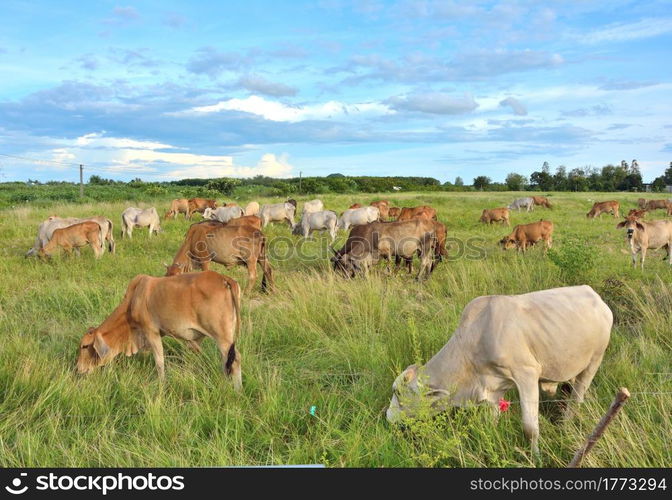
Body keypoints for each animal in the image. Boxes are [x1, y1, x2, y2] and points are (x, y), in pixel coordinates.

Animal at [75, 270, 243, 390]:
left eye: (85, 346)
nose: (78, 369)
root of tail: (224, 279)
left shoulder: (151, 332)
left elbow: (159, 361)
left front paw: (161, 384)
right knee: (226, 360)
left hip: (222, 336)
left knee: (235, 359)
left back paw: (237, 390)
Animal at [388, 284, 616, 456]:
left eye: (397, 392)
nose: (388, 418)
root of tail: (594, 294)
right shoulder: (494, 388)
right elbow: (492, 420)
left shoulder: (526, 374)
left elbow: (530, 428)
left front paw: (536, 456)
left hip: (595, 360)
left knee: (577, 398)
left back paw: (566, 426)